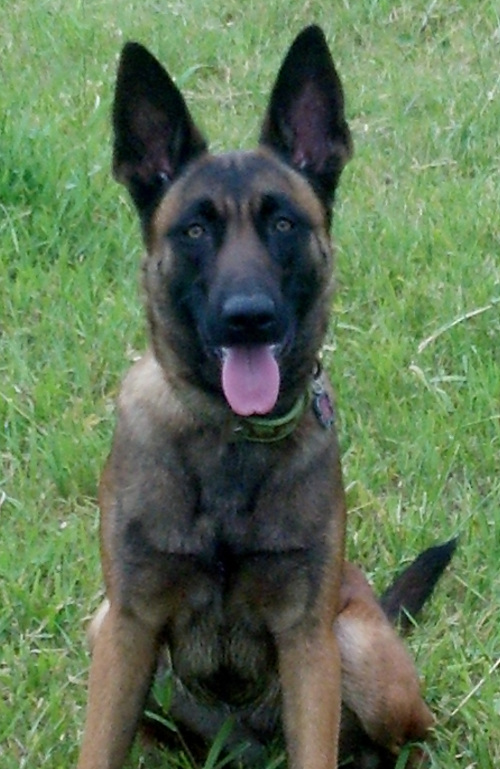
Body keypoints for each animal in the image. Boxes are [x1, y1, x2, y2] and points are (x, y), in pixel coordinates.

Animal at [75, 25, 454, 768]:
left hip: (359, 651)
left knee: (411, 742)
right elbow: (98, 748)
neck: (230, 437)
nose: (248, 317)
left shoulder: (307, 639)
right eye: (195, 230)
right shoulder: (127, 625)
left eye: (282, 223)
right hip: (103, 627)